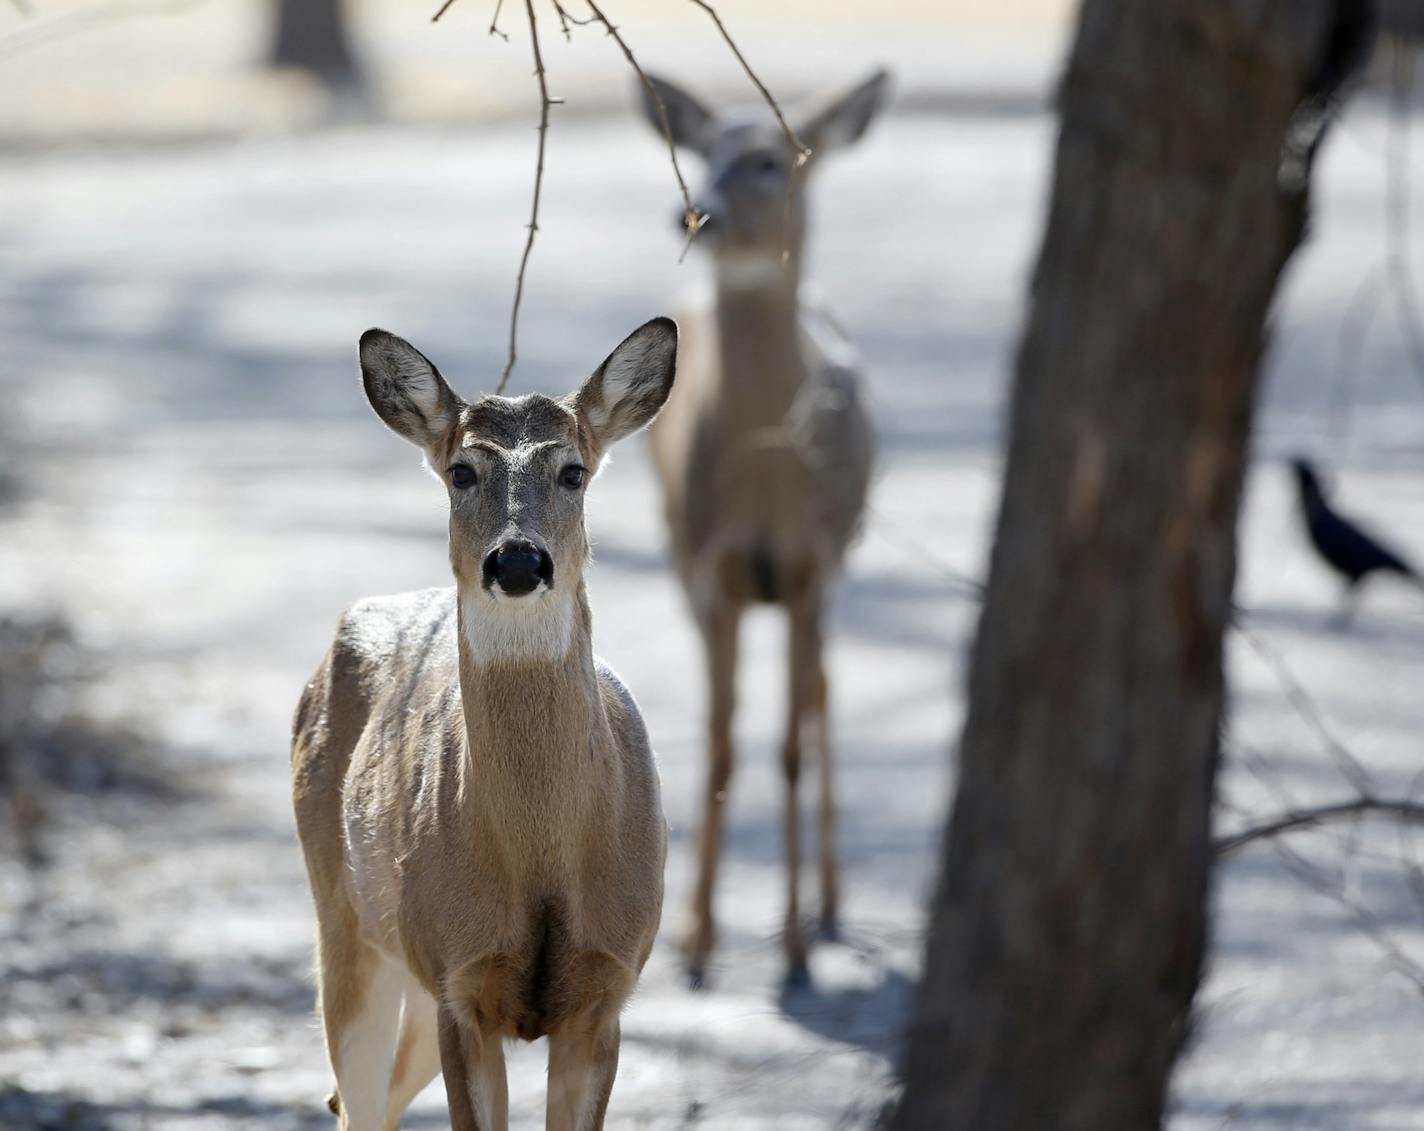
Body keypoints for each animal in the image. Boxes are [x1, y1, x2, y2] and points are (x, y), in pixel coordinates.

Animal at [289, 317, 677, 1128]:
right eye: (462, 471)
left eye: (573, 472)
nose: (519, 560)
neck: (541, 862)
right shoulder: (458, 981)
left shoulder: (605, 991)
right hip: (348, 923)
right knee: (352, 1096)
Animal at [637, 72, 888, 985]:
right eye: (701, 150)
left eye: (773, 159)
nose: (696, 212)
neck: (770, 487)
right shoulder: (712, 568)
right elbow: (719, 743)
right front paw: (697, 937)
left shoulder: (814, 562)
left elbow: (786, 744)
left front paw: (794, 947)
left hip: (845, 558)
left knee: (821, 695)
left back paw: (832, 899)